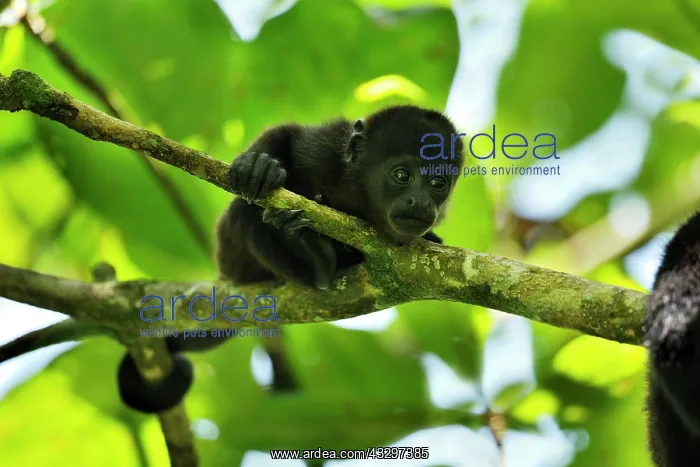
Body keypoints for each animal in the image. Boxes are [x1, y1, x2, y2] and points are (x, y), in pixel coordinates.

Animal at [116, 104, 465, 413]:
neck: (362, 197)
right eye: (402, 175)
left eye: (438, 183)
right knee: (244, 211)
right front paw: (259, 164)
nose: (421, 202)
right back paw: (311, 253)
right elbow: (288, 133)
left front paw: (431, 237)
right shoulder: (327, 148)